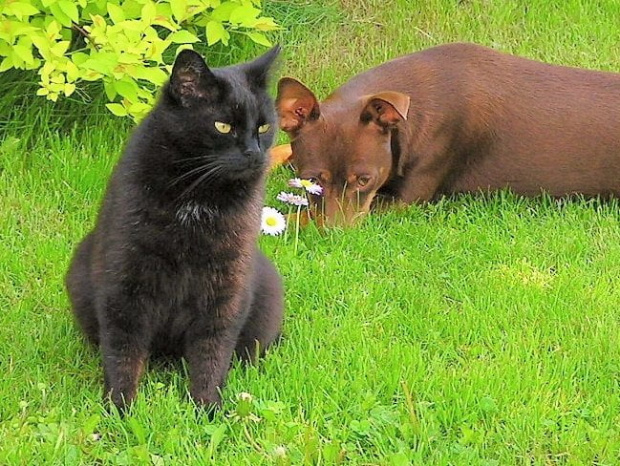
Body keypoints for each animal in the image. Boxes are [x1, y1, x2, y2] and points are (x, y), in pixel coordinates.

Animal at [65, 46, 284, 412]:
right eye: (223, 126)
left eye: (264, 126)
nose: (254, 154)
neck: (196, 196)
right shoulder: (126, 279)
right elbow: (123, 349)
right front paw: (120, 408)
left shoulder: (226, 284)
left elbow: (213, 349)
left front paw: (207, 408)